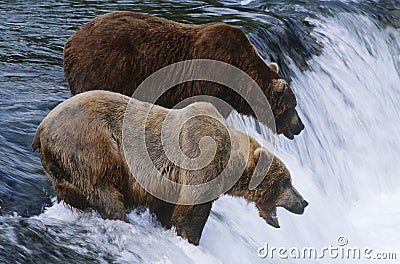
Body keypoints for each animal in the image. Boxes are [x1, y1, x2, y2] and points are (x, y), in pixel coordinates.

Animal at [32, 89, 308, 244]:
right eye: (287, 181)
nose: (304, 202)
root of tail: (41, 130)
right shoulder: (200, 160)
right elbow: (192, 210)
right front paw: (190, 239)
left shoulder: (169, 182)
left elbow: (167, 207)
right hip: (90, 145)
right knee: (104, 190)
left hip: (61, 169)